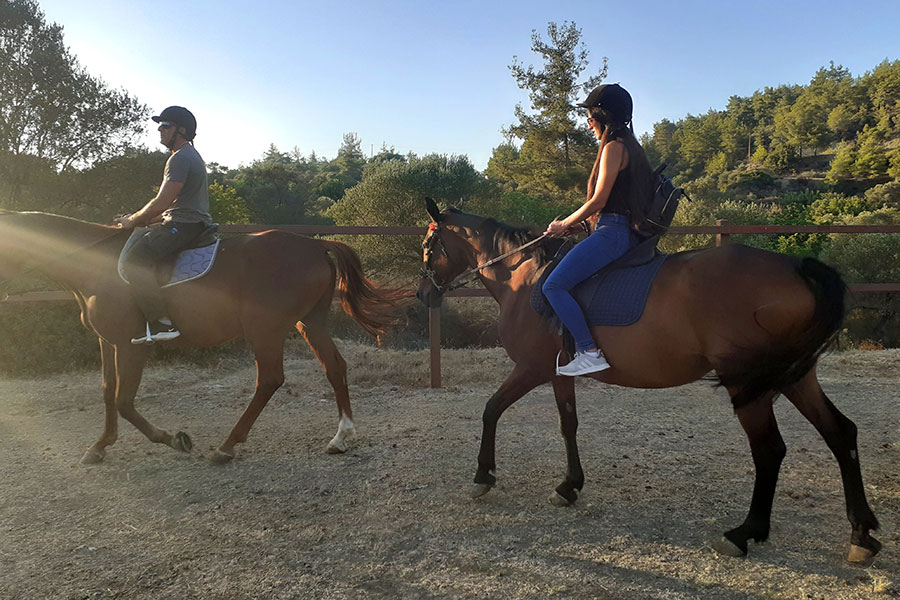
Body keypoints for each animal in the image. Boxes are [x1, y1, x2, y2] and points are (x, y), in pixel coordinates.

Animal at [0, 210, 407, 464]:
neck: (93, 264)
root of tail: (314, 245)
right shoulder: (108, 342)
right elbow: (107, 392)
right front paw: (100, 446)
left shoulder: (131, 345)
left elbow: (124, 400)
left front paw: (172, 439)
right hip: (309, 323)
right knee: (334, 367)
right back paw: (341, 437)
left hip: (265, 328)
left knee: (269, 379)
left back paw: (226, 447)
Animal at [415, 198, 881, 564]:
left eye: (427, 246)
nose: (423, 295)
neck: (524, 276)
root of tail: (798, 267)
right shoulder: (558, 372)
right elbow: (568, 424)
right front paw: (569, 486)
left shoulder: (531, 369)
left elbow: (491, 409)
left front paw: (483, 475)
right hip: (793, 378)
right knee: (841, 433)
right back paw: (861, 534)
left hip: (747, 384)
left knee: (769, 450)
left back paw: (743, 533)